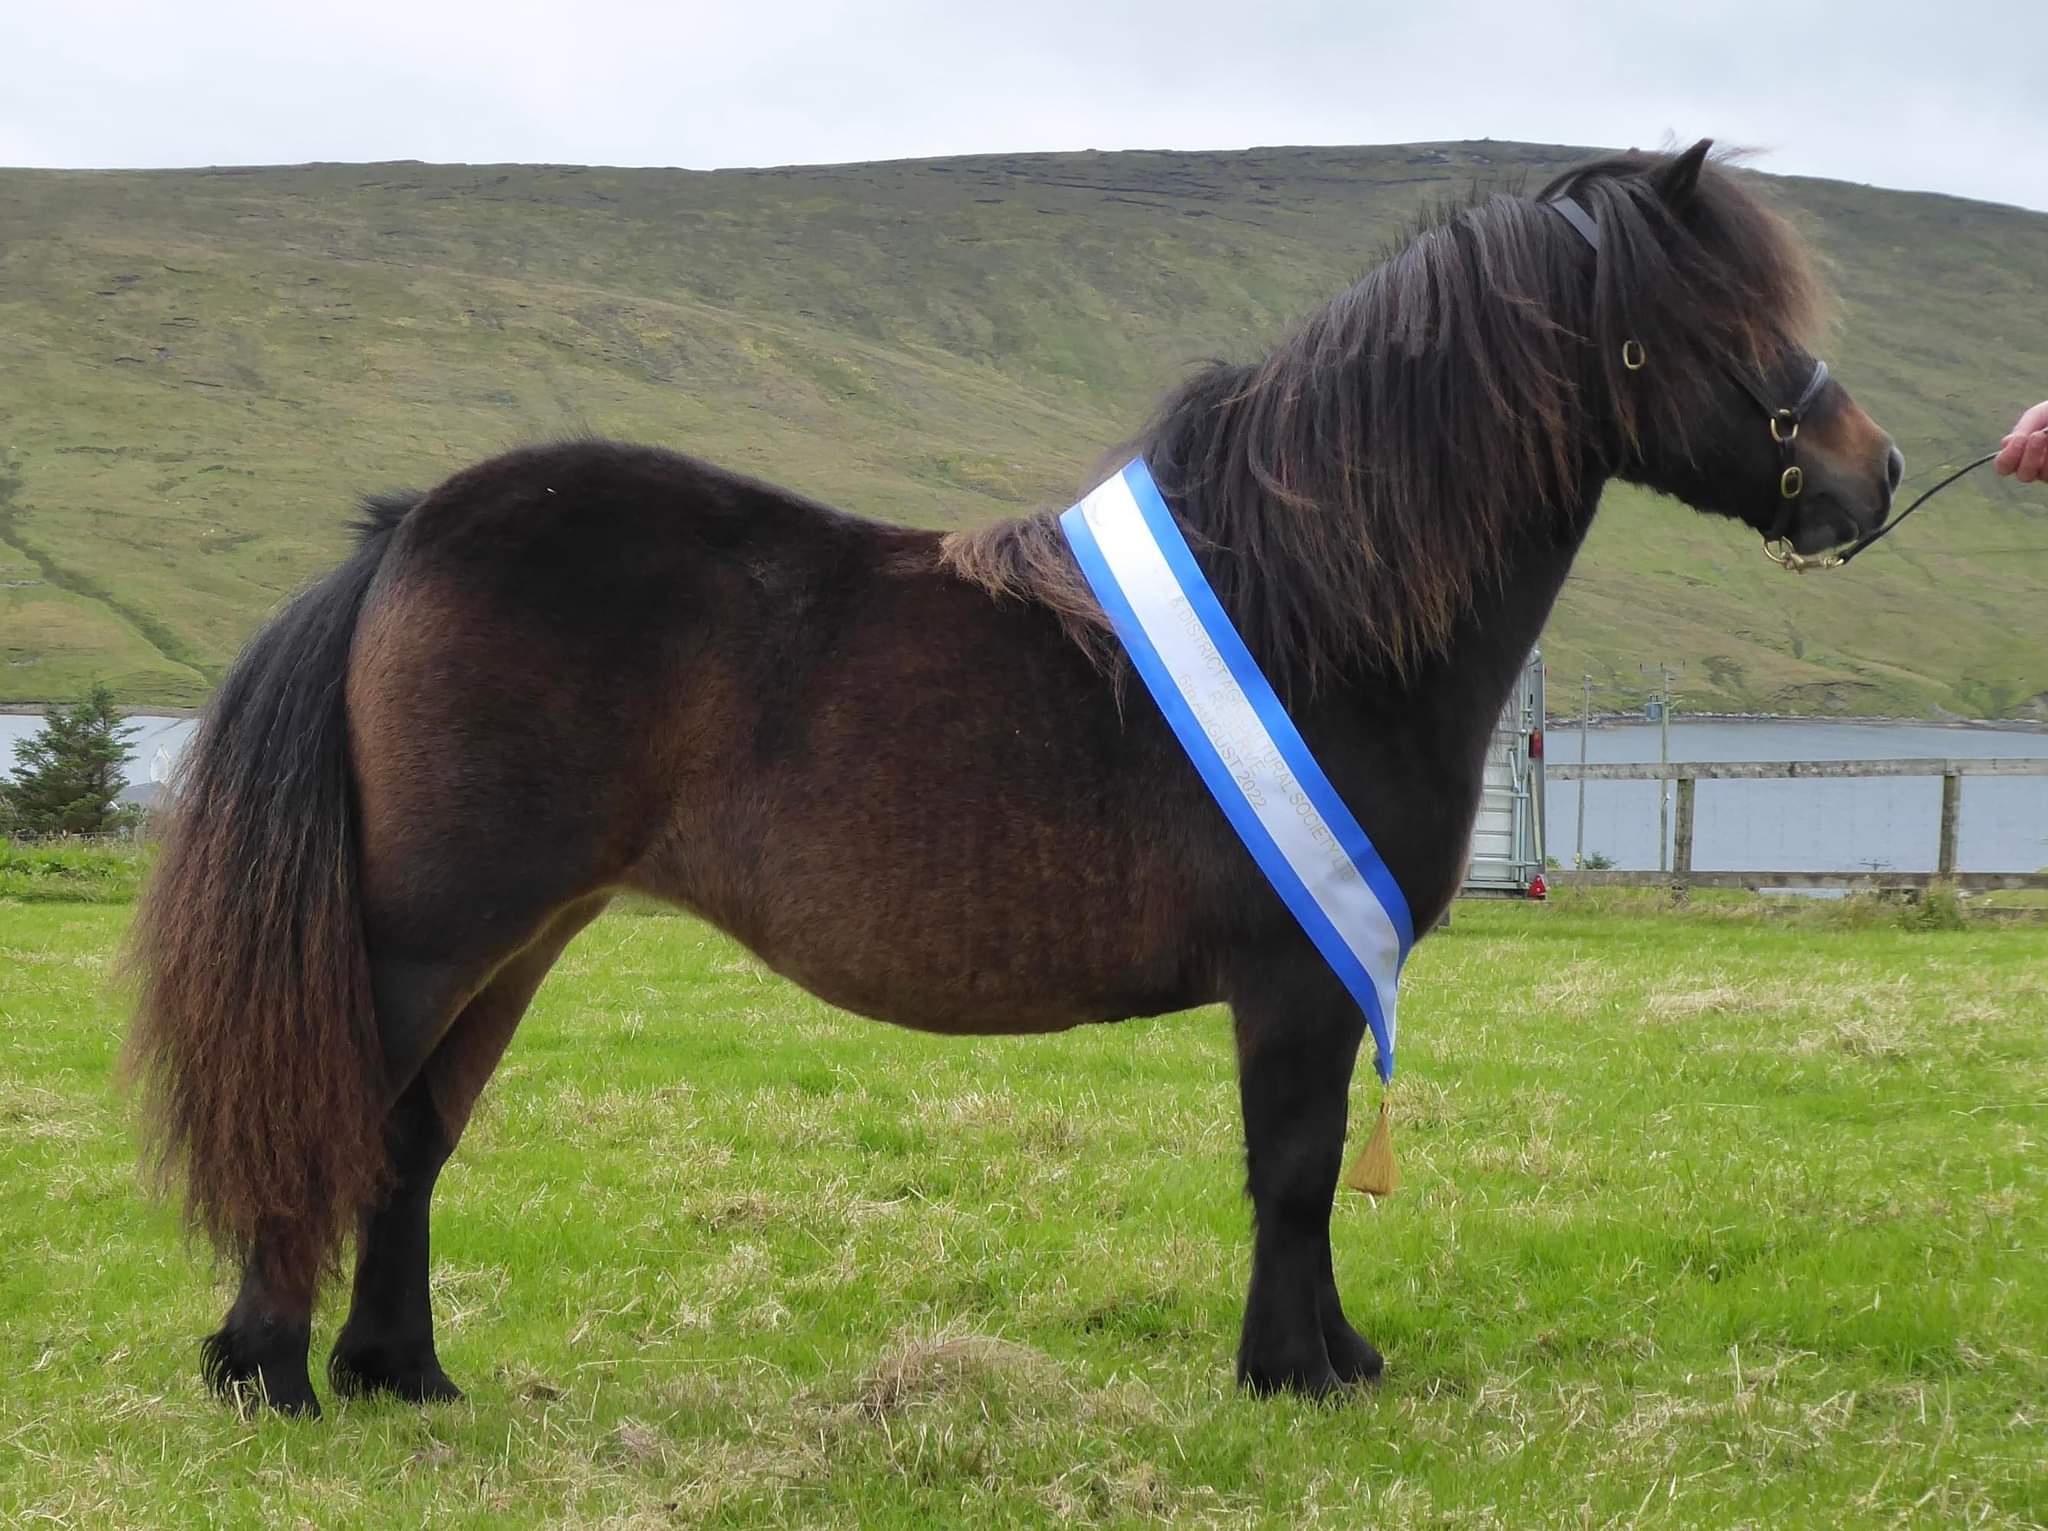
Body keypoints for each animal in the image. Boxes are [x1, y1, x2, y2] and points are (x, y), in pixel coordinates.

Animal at [123, 139, 1903, 1416]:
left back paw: (402, 1373)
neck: (1316, 600)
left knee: (411, 1136)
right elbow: (1296, 1163)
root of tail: (406, 531)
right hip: (429, 933)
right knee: (344, 1112)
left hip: (521, 934)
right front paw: (1294, 1372)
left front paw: (1335, 1355)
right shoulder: (1296, 967)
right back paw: (272, 1371)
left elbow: (1311, 1164)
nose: (1871, 474)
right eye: (1733, 324)